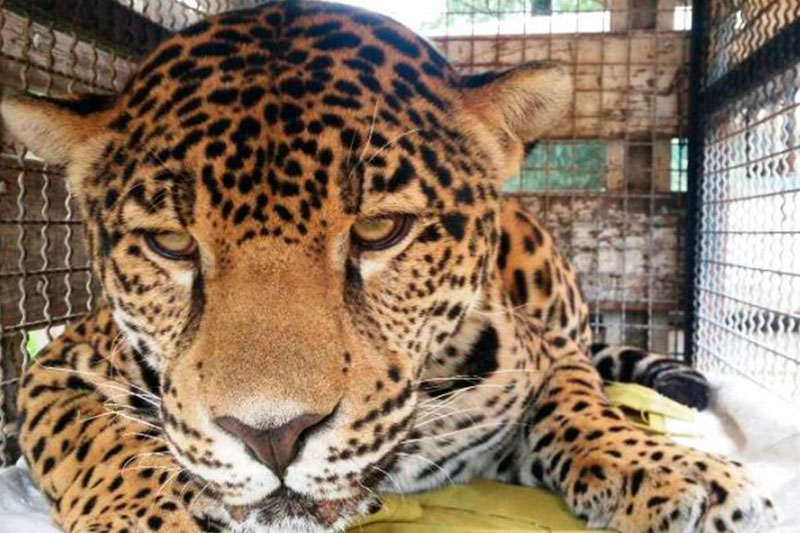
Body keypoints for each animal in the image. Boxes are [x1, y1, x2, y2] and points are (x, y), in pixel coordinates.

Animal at [1, 1, 776, 532]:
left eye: (380, 230)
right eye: (171, 243)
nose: (271, 436)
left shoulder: (546, 357)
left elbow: (583, 405)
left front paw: (677, 472)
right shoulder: (55, 371)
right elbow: (104, 443)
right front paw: (147, 515)